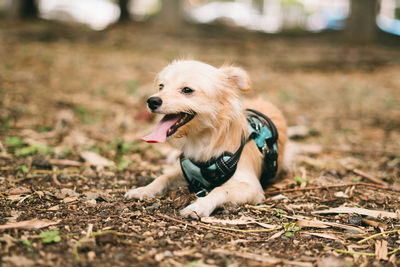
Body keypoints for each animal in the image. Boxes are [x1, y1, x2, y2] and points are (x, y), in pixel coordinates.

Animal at [125, 59, 288, 219]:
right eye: (161, 86)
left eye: (187, 90)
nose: (152, 101)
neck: (202, 139)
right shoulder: (185, 170)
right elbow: (163, 177)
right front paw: (143, 189)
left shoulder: (252, 187)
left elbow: (220, 190)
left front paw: (198, 206)